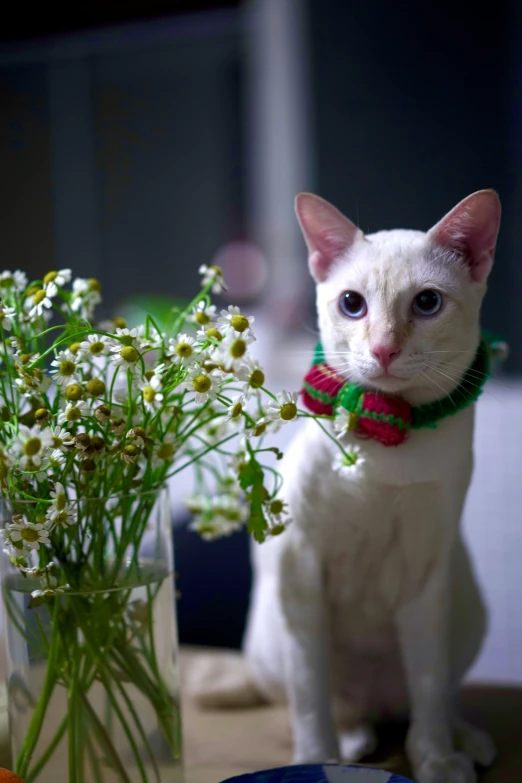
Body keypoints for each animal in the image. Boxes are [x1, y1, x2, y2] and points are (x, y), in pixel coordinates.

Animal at [189, 191, 498, 783]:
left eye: (427, 303)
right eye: (352, 304)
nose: (382, 350)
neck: (389, 430)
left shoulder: (426, 574)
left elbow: (429, 687)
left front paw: (435, 759)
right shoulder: (302, 571)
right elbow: (310, 695)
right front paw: (316, 760)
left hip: (463, 604)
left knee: (430, 700)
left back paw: (464, 742)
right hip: (273, 630)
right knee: (326, 705)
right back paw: (350, 746)